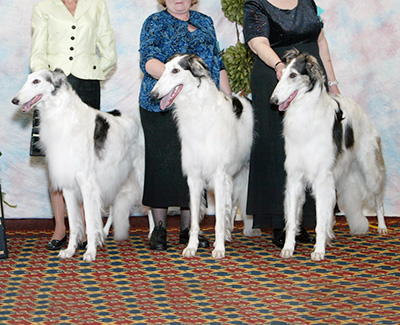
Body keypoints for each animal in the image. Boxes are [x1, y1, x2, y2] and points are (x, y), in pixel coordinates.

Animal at [12, 68, 153, 260]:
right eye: (29, 79)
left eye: (36, 81)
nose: (15, 100)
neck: (62, 115)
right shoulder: (68, 185)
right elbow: (73, 222)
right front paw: (70, 250)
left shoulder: (87, 184)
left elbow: (90, 222)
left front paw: (90, 251)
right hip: (117, 174)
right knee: (114, 205)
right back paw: (106, 231)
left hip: (140, 172)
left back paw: (153, 233)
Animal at [150, 53, 260, 258]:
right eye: (163, 69)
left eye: (175, 70)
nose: (153, 94)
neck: (198, 111)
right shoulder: (194, 177)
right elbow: (193, 219)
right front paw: (191, 247)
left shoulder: (219, 175)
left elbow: (218, 220)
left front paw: (219, 249)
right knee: (232, 204)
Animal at [270, 48, 386, 260]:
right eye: (281, 75)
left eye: (293, 75)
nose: (273, 101)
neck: (305, 115)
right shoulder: (295, 177)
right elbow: (292, 220)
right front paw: (288, 248)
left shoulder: (321, 177)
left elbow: (319, 221)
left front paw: (319, 250)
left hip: (369, 169)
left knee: (378, 199)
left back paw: (382, 226)